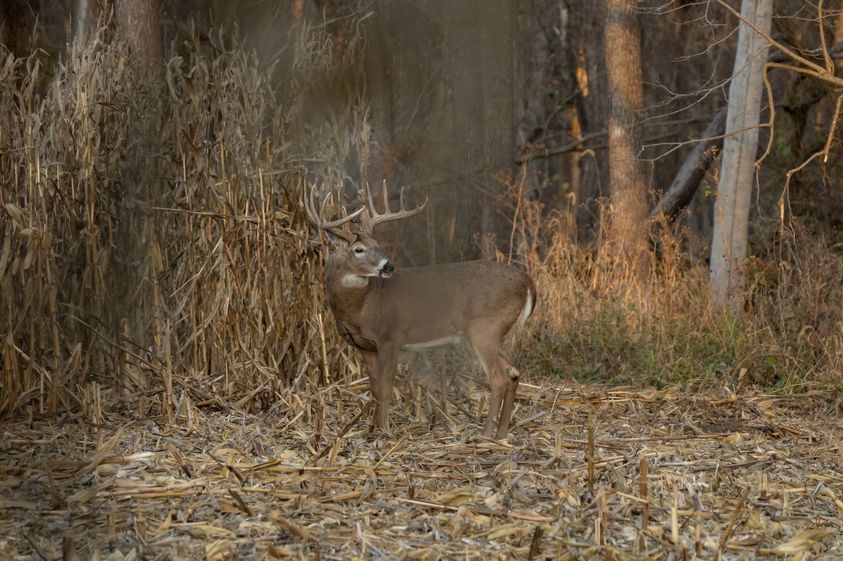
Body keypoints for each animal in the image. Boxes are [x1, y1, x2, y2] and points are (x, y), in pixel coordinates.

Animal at [304, 183, 536, 440]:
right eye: (359, 249)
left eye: (377, 246)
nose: (389, 266)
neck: (363, 305)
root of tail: (526, 281)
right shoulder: (365, 347)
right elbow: (374, 388)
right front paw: (372, 429)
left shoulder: (392, 337)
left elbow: (385, 387)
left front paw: (385, 431)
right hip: (496, 333)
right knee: (514, 372)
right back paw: (502, 435)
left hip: (485, 328)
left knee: (499, 377)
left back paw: (485, 436)